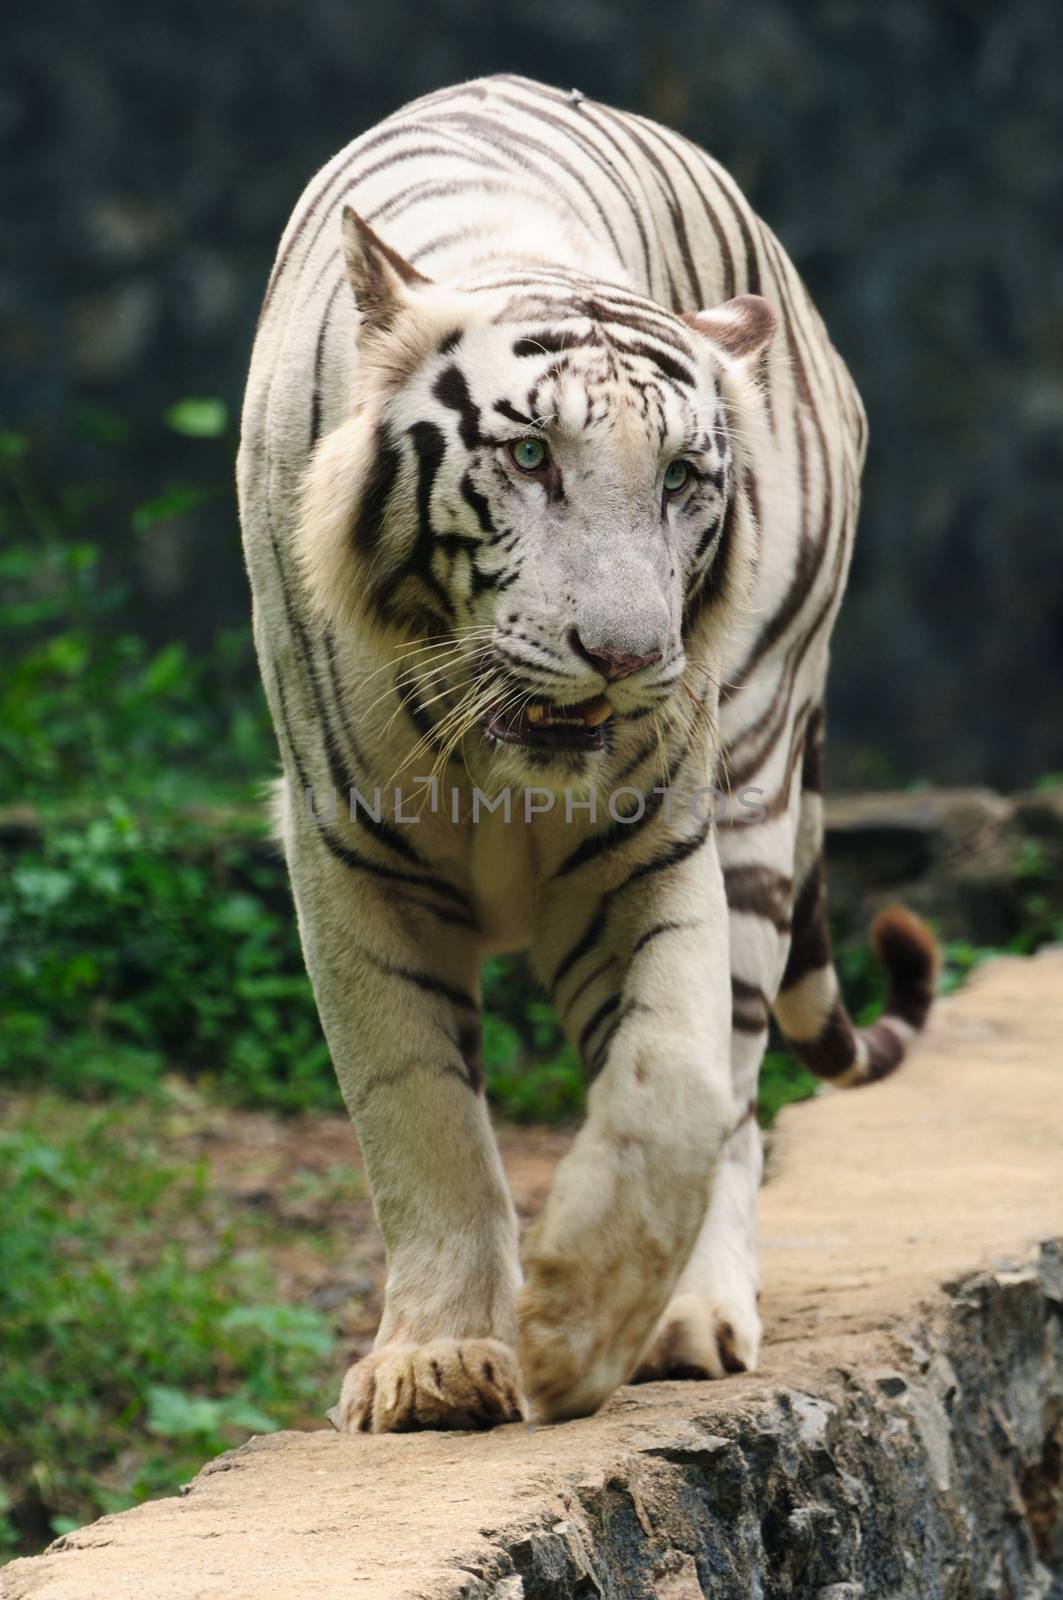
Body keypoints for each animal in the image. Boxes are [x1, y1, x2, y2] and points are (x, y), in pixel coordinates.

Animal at [236, 75, 934, 1433]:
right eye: (527, 457)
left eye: (681, 477)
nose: (624, 654)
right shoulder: (350, 858)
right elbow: (421, 1118)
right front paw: (435, 1362)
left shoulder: (652, 843)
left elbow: (678, 1086)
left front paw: (572, 1332)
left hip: (760, 778)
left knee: (740, 1084)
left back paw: (689, 1319)